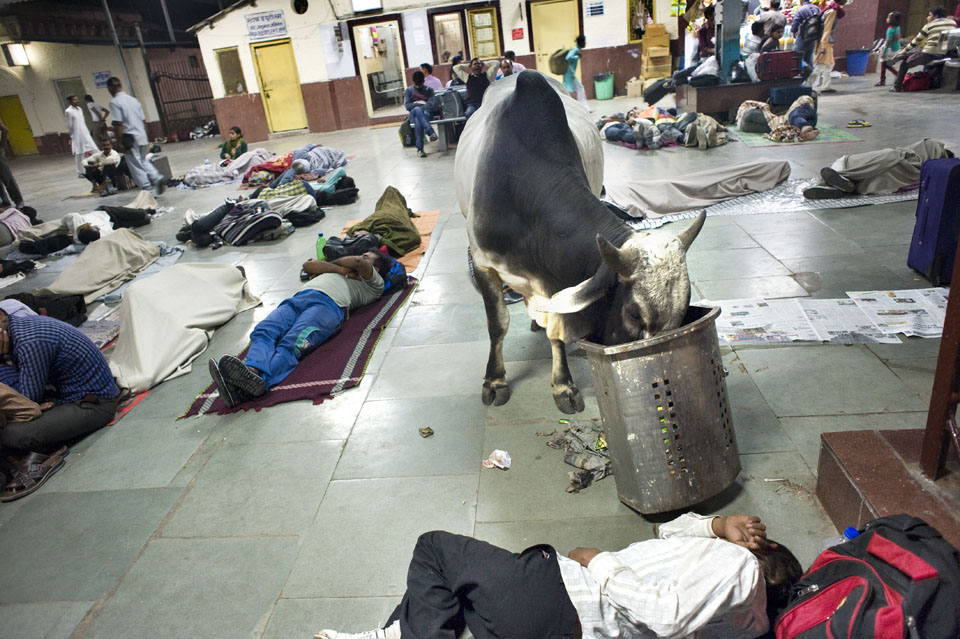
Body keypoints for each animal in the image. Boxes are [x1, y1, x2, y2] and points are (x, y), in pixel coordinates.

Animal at [458, 70, 704, 416]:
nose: (659, 375)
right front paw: (495, 381)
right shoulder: (483, 263)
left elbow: (557, 331)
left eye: (681, 316)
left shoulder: (555, 278)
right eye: (634, 315)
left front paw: (563, 386)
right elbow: (498, 324)